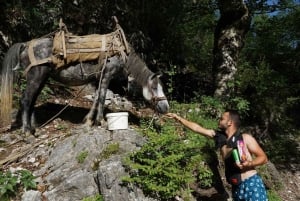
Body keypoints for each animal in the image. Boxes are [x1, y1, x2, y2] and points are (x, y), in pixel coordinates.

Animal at [0, 31, 169, 135]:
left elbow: (96, 98)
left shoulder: (97, 80)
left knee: (32, 100)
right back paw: (27, 131)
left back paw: (33, 127)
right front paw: (100, 121)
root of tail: (25, 44)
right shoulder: (106, 76)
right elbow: (101, 99)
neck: (120, 53)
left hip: (41, 78)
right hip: (36, 77)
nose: (166, 107)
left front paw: (88, 120)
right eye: (155, 87)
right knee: (25, 100)